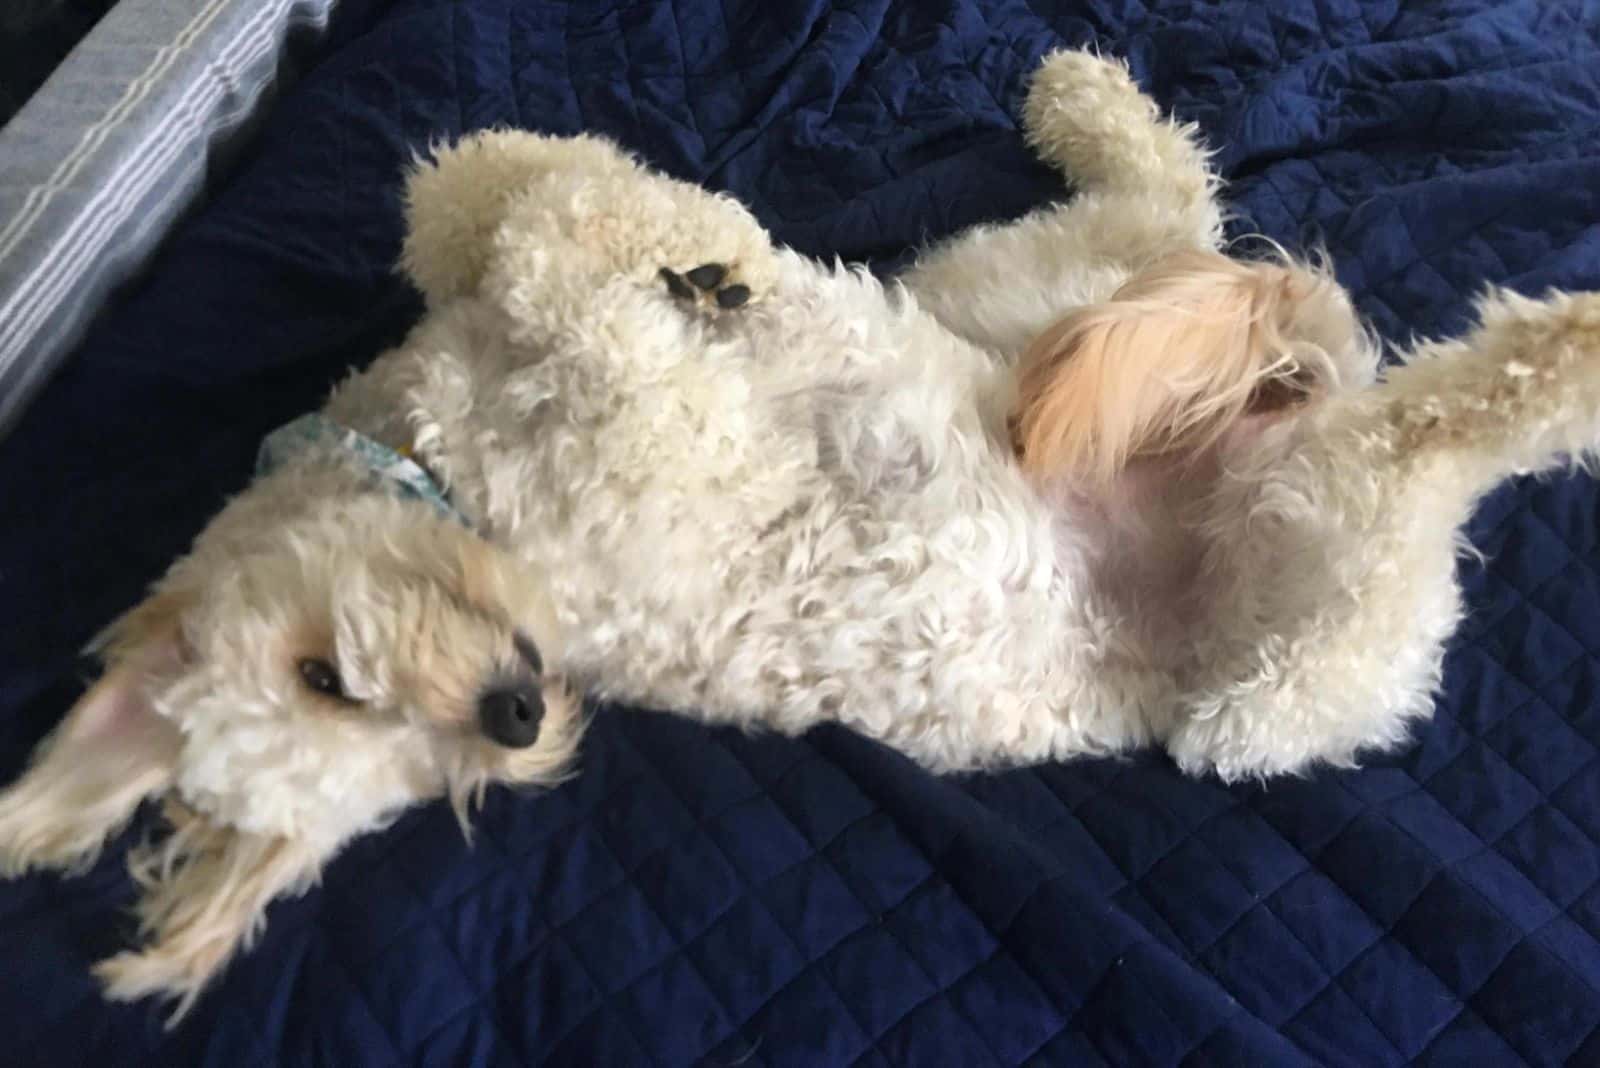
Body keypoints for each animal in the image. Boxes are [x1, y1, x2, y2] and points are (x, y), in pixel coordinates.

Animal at [9, 49, 1600, 1016]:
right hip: (1303, 627)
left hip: (1007, 297)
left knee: (1173, 201)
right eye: (412, 770)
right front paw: (640, 252)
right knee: (1428, 434)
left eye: (321, 680)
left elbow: (475, 198)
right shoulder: (654, 427)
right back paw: (1561, 351)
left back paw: (1079, 98)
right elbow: (563, 255)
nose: (517, 713)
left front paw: (653, 238)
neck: (453, 463)